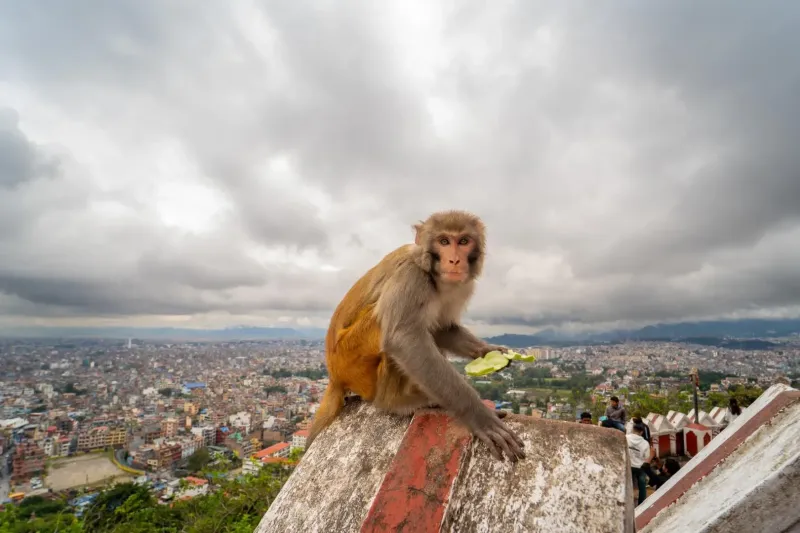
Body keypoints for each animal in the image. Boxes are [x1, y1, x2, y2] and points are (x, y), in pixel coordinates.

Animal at [306, 210, 526, 462]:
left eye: (463, 241)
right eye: (443, 241)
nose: (454, 260)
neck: (433, 275)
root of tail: (334, 376)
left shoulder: (462, 287)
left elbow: (443, 328)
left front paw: (488, 352)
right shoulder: (411, 276)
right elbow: (403, 338)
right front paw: (478, 415)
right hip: (351, 359)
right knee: (390, 324)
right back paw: (394, 401)